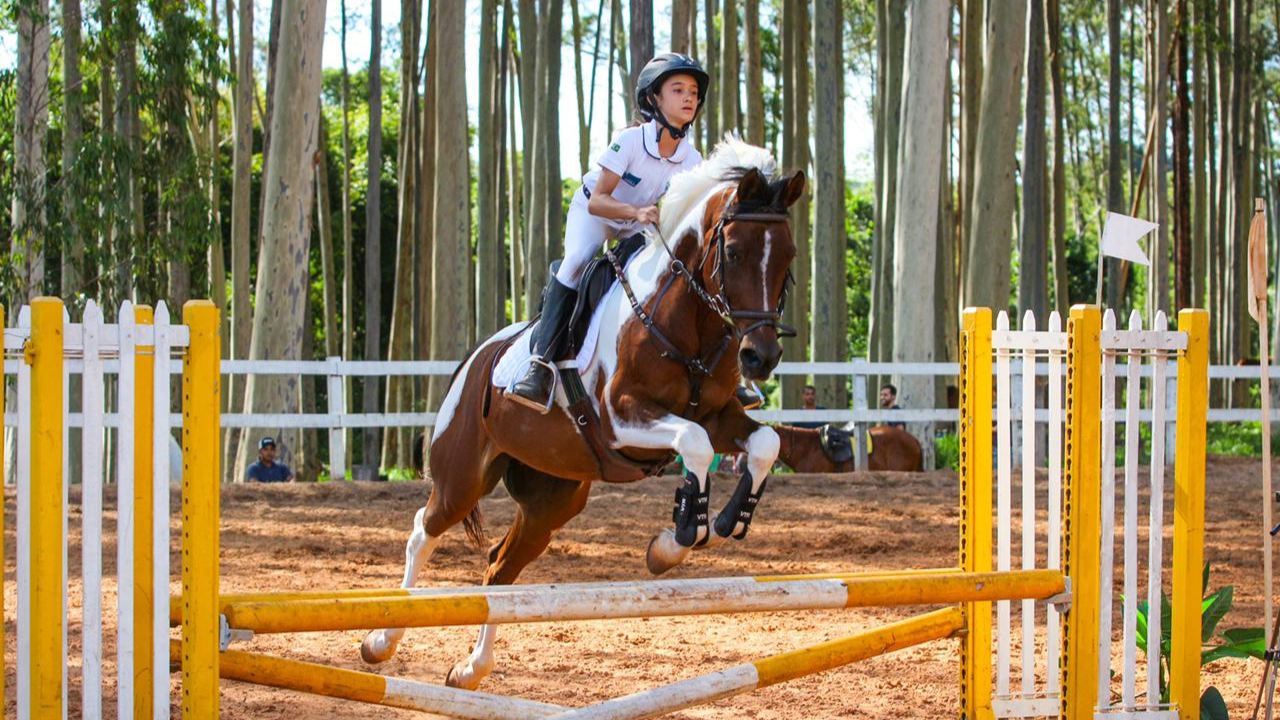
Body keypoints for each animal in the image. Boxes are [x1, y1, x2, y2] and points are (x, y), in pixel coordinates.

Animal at [360, 137, 798, 686]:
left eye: (788, 256)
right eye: (734, 251)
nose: (761, 357)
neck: (684, 322)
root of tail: (477, 359)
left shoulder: (719, 417)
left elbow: (764, 444)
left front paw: (715, 527)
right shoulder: (622, 420)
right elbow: (694, 445)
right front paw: (676, 540)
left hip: (553, 499)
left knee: (500, 568)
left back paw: (471, 670)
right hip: (462, 477)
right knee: (424, 530)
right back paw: (380, 641)